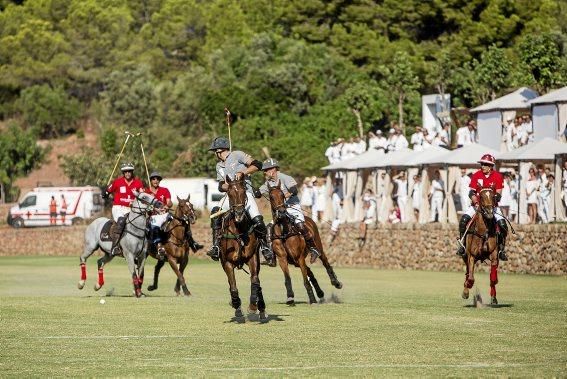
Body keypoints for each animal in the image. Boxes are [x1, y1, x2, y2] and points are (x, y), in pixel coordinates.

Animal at [220, 177, 268, 322]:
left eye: (243, 192)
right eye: (229, 193)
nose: (239, 214)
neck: (239, 231)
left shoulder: (252, 258)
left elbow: (255, 282)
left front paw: (252, 307)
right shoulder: (227, 263)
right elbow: (233, 287)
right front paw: (236, 305)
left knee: (258, 282)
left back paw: (261, 308)